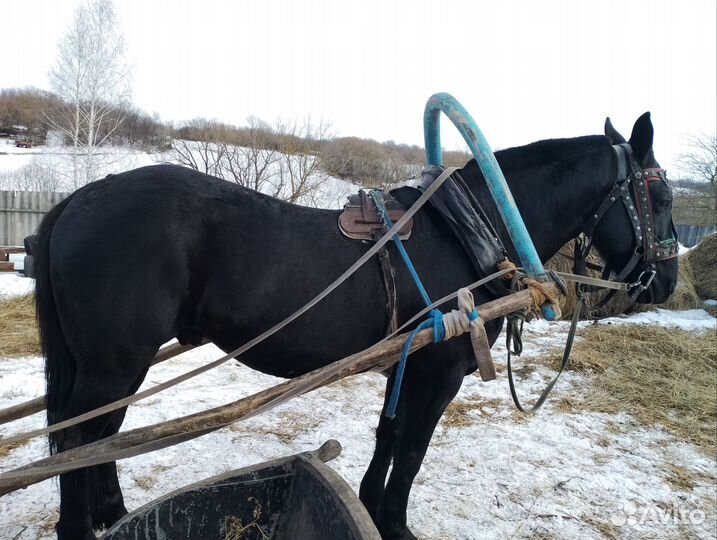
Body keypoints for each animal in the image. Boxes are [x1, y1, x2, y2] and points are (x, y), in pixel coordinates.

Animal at [34, 112, 677, 540]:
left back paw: (114, 515)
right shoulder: (440, 371)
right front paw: (395, 524)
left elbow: (388, 437)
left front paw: (369, 505)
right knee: (78, 437)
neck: (472, 228)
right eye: (662, 195)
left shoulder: (407, 361)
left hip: (113, 366)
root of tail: (76, 201)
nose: (664, 283)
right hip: (115, 363)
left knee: (99, 435)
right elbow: (412, 449)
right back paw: (80, 526)